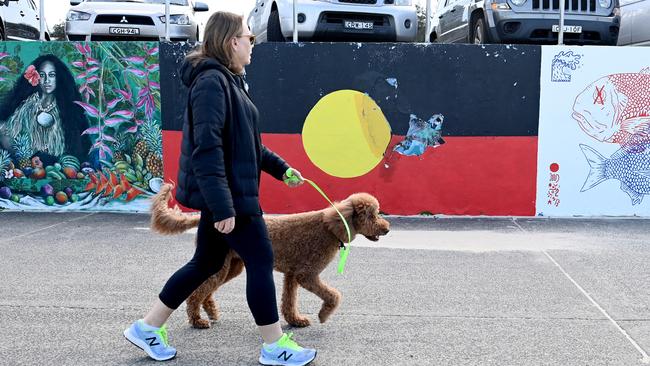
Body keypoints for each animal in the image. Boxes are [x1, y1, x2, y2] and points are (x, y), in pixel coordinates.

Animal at [149, 183, 388, 328]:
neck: (330, 226)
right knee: (196, 293)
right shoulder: (306, 275)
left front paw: (295, 320)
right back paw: (197, 320)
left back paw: (211, 312)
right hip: (218, 264)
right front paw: (323, 314)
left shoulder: (291, 275)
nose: (386, 228)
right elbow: (333, 295)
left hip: (232, 266)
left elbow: (289, 301)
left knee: (206, 290)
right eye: (372, 215)